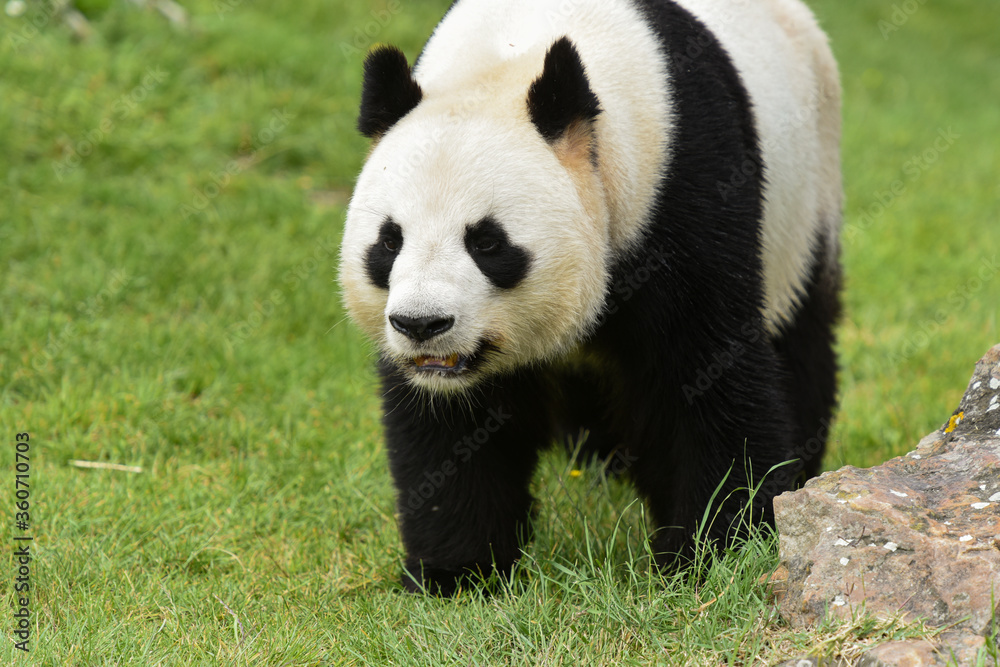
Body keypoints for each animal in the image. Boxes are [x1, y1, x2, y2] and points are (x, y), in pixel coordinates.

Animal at [340, 0, 842, 595]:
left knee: (801, 343)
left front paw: (710, 557)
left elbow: (705, 376)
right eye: (390, 241)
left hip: (805, 206)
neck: (507, 60)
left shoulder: (684, 185)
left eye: (487, 242)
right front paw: (458, 573)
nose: (422, 324)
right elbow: (450, 427)